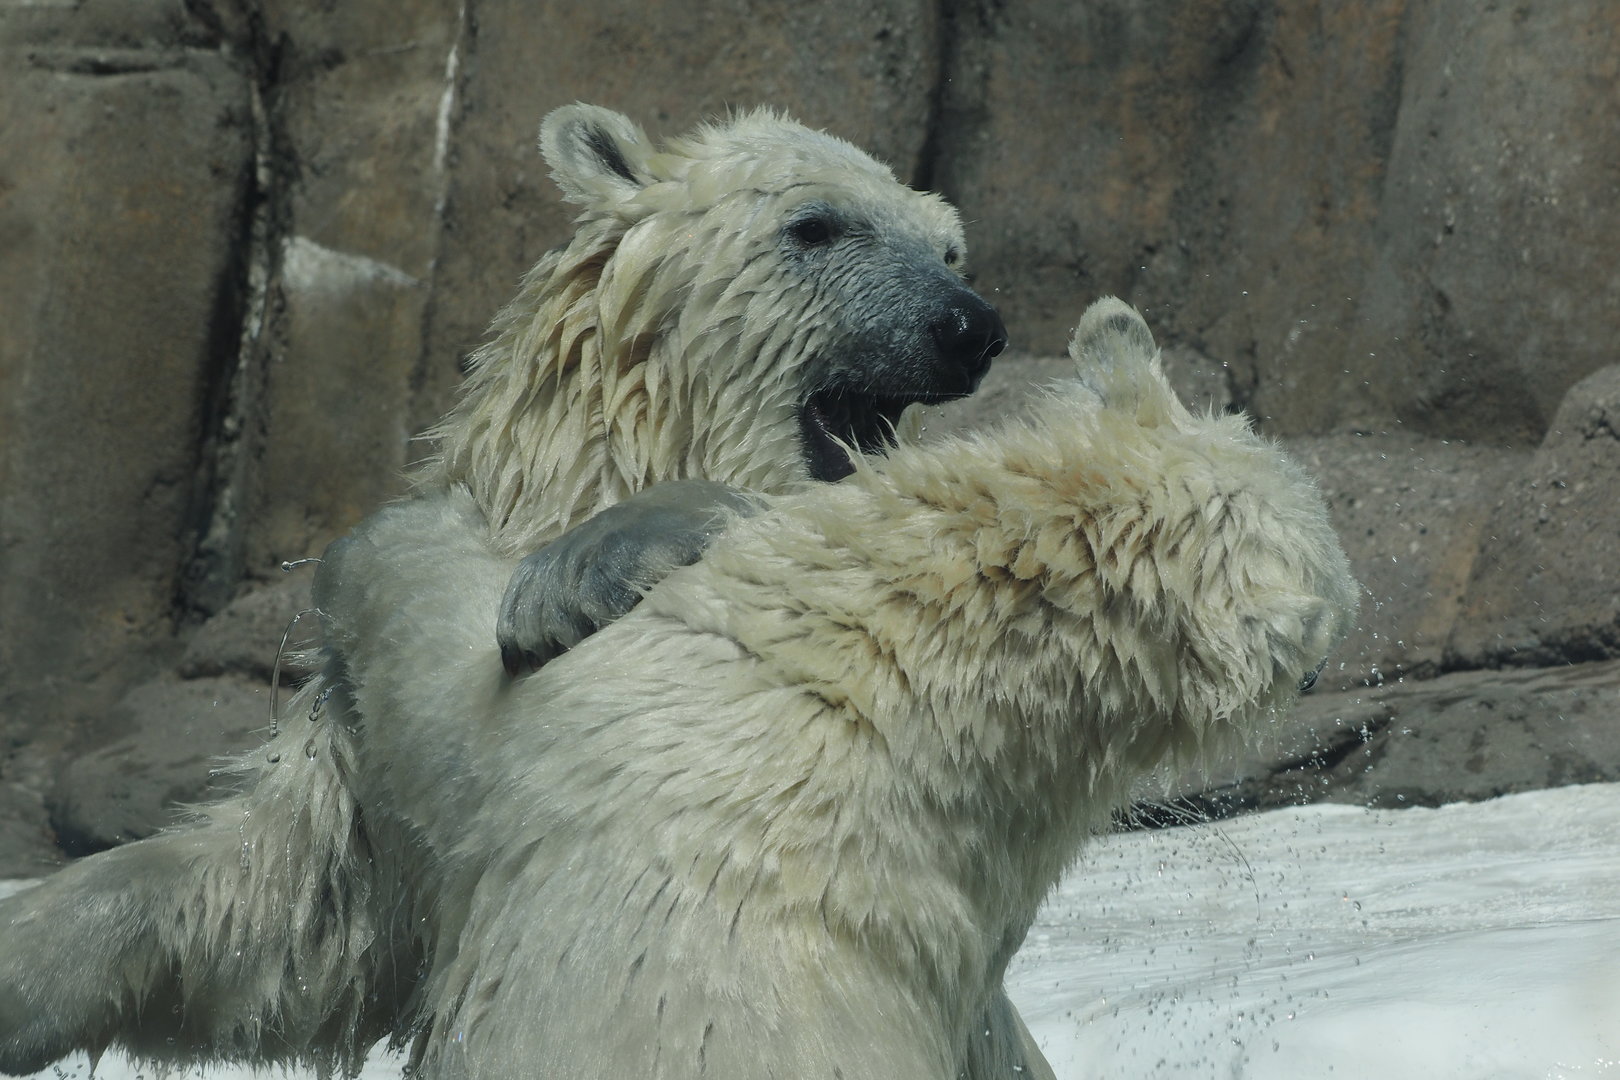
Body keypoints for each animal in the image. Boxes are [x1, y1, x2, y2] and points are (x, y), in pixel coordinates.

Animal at [0, 104, 1018, 1076]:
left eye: (948, 247)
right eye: (815, 225)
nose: (971, 327)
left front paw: (571, 579)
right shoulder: (364, 749)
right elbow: (290, 907)